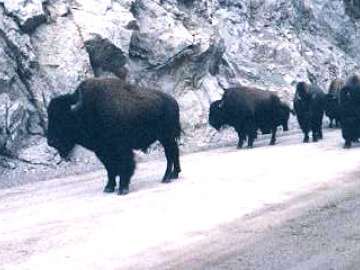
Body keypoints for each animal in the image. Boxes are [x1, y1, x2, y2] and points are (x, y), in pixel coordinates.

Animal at [47, 77, 181, 194]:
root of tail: (173, 101)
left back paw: (166, 178)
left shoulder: (121, 149)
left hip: (166, 137)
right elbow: (110, 168)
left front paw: (123, 189)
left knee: (170, 155)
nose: (51, 141)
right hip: (167, 138)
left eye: (63, 119)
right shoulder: (102, 151)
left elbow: (124, 166)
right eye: (49, 116)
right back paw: (175, 174)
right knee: (174, 152)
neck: (86, 110)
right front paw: (109, 188)